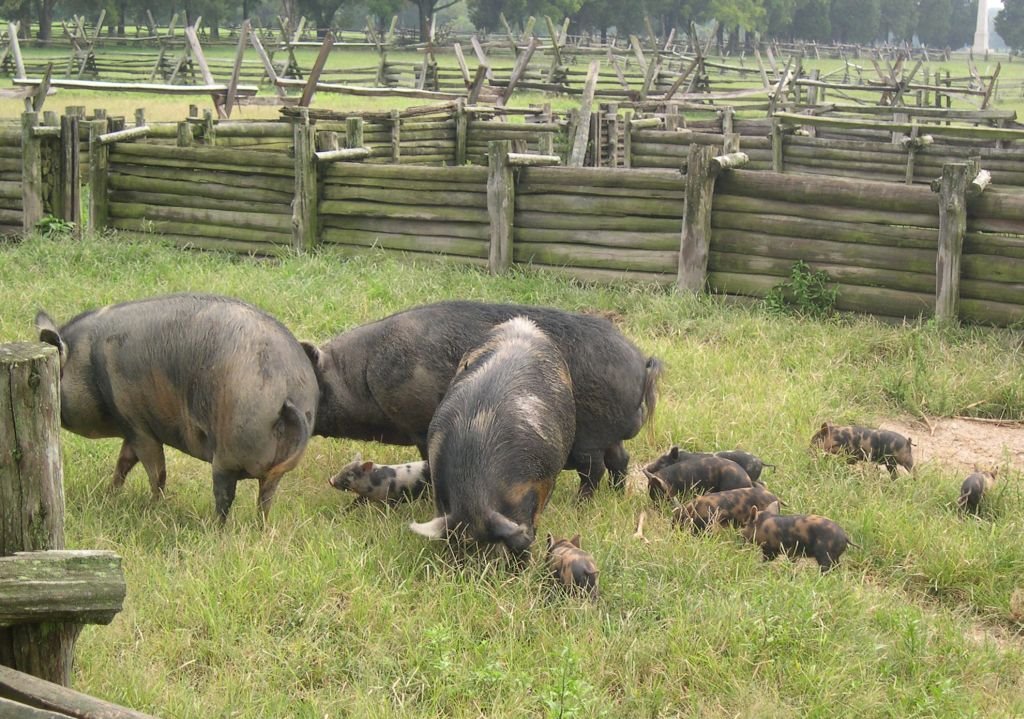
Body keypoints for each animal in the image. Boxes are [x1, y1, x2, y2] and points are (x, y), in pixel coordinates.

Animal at [36, 292, 315, 524]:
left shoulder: (138, 425)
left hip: (229, 451)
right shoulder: (132, 427)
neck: (89, 363)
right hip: (275, 468)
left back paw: (214, 529)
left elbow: (156, 472)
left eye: (57, 375)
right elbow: (123, 463)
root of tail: (288, 392)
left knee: (225, 497)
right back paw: (261, 528)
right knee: (265, 499)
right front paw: (109, 495)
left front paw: (154, 508)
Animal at [299, 301, 659, 497]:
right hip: (609, 435)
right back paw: (615, 494)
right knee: (620, 460)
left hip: (591, 436)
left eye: (318, 387)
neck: (360, 376)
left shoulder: (419, 422)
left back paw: (581, 502)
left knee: (594, 470)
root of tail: (640, 363)